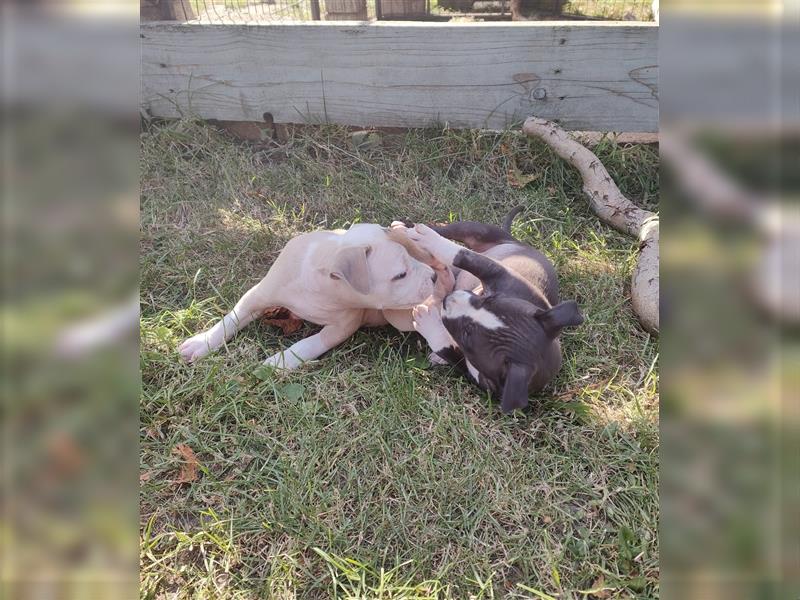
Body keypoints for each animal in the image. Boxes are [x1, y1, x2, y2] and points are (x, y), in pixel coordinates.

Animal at [181, 223, 454, 368]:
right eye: (400, 275)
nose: (432, 277)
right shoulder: (258, 295)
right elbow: (232, 318)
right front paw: (203, 342)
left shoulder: (343, 326)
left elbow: (310, 343)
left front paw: (282, 362)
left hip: (400, 314)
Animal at [392, 211, 580, 412]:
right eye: (490, 300)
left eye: (467, 337)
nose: (449, 299)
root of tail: (515, 239)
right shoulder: (501, 273)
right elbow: (462, 255)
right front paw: (425, 237)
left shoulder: (481, 380)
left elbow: (452, 353)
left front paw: (428, 322)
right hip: (477, 230)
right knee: (449, 232)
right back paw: (406, 228)